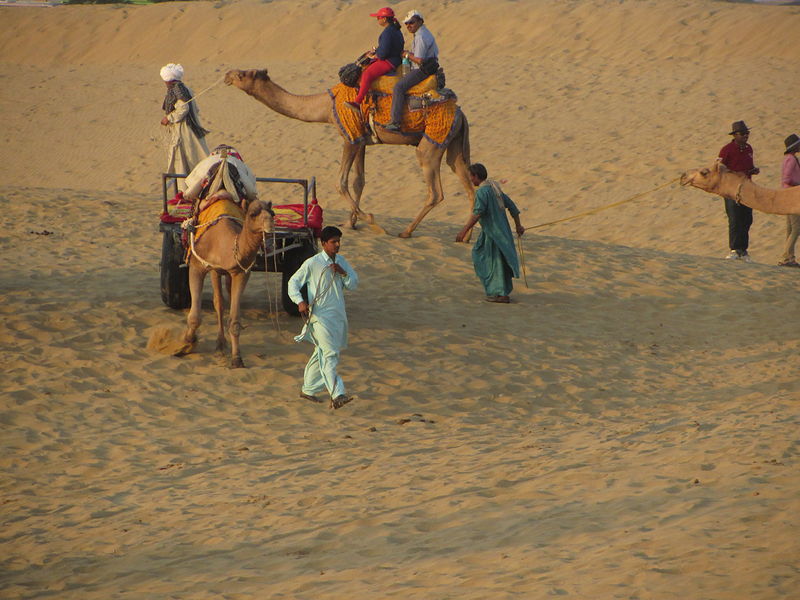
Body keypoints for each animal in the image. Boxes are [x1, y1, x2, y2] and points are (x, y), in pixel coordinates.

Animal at [174, 193, 275, 368]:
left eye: (272, 213)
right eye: (253, 213)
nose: (270, 225)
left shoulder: (240, 273)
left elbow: (234, 320)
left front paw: (237, 359)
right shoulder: (196, 267)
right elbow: (195, 317)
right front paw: (186, 342)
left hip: (222, 273)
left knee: (222, 300)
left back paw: (221, 345)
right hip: (214, 270)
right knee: (218, 302)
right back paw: (219, 345)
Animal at [224, 68, 474, 238]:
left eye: (242, 74)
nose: (227, 74)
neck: (325, 107)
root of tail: (461, 113)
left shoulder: (349, 137)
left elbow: (341, 183)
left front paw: (373, 222)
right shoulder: (361, 140)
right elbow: (358, 181)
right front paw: (351, 223)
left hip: (431, 144)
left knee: (435, 192)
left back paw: (406, 231)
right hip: (452, 143)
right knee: (468, 184)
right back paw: (465, 235)